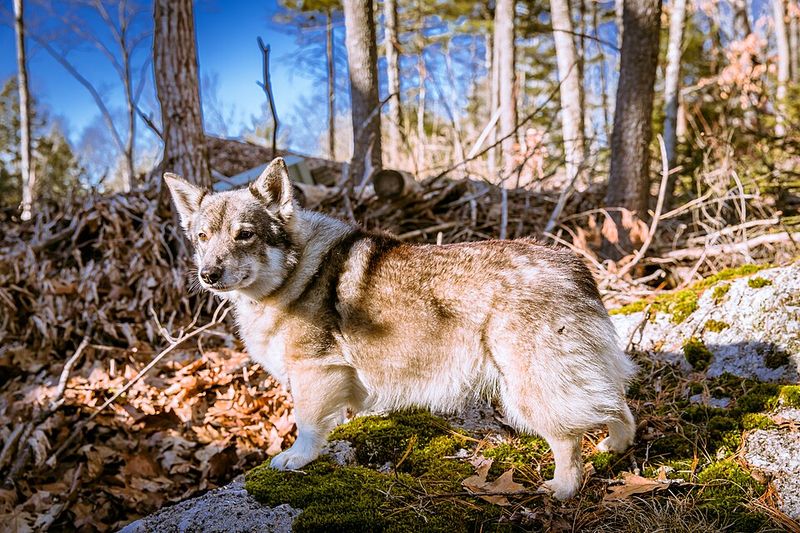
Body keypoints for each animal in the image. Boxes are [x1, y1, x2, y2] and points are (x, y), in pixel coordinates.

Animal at [164, 157, 637, 500]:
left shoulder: (314, 372)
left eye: (244, 234)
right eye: (202, 237)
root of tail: (574, 265)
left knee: (568, 439)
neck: (291, 273)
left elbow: (308, 426)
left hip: (529, 387)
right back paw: (616, 446)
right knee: (618, 406)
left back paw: (563, 488)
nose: (208, 274)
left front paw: (297, 459)